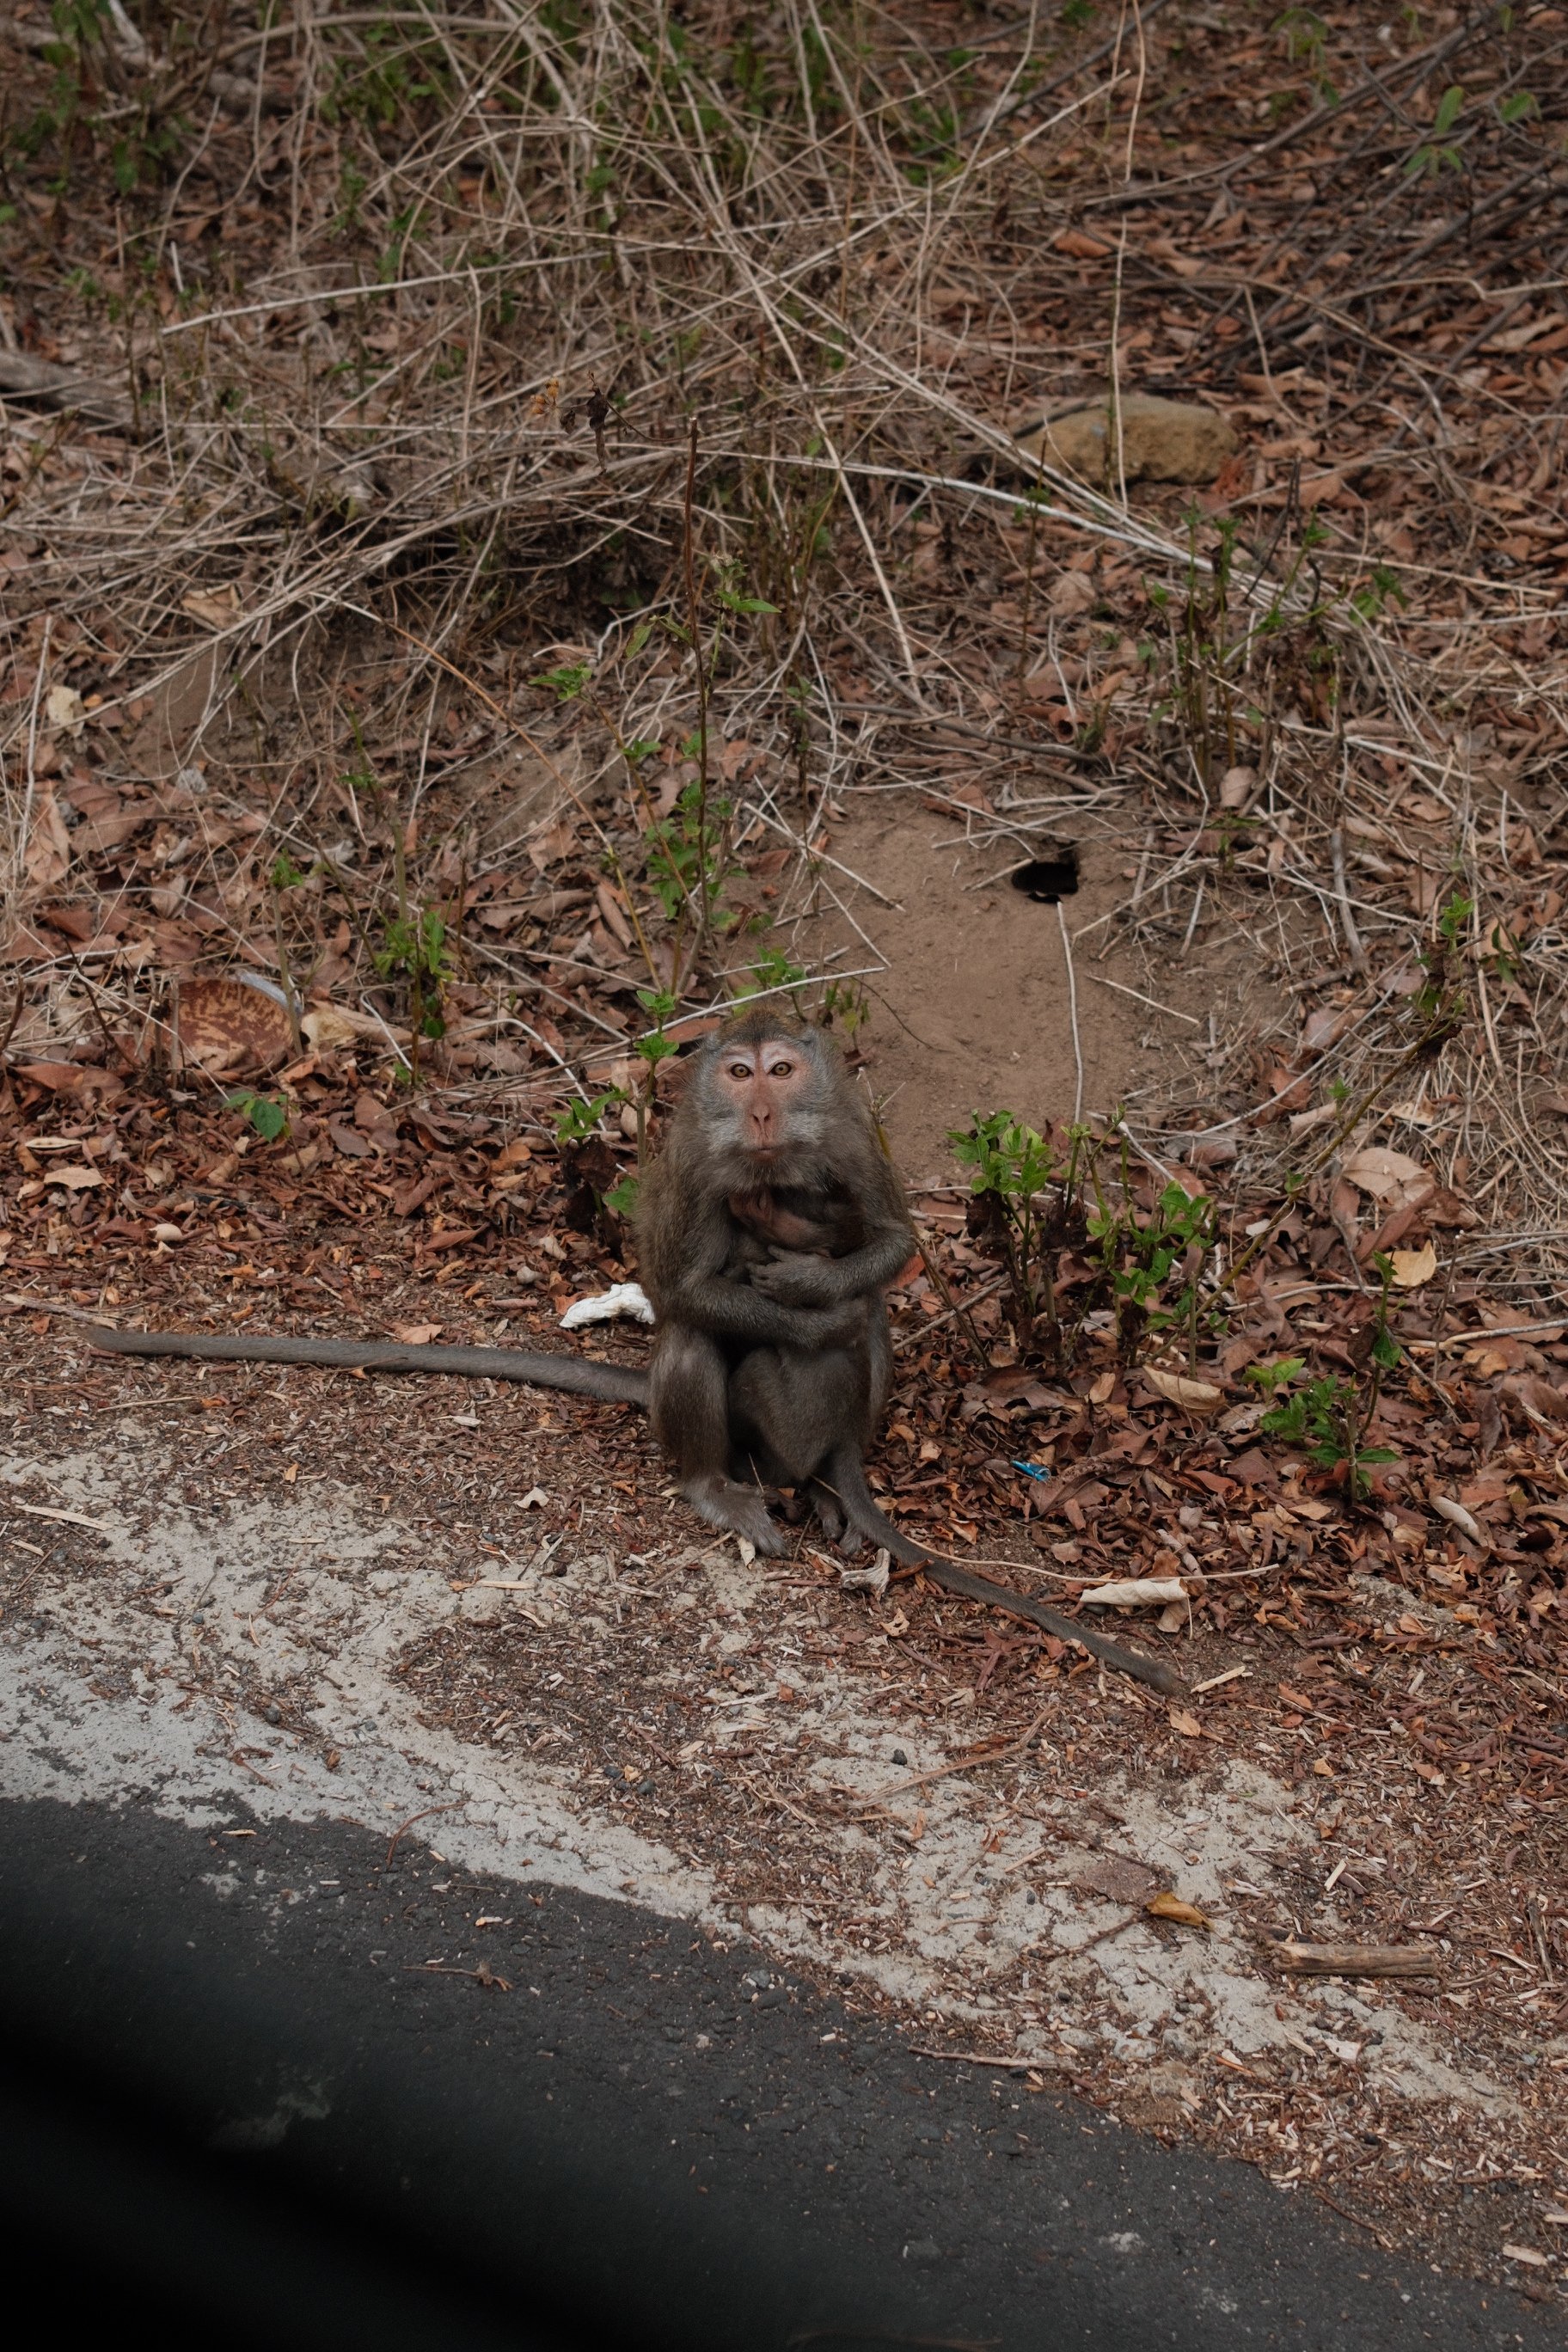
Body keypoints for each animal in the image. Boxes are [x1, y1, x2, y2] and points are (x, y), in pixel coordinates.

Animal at [86, 1006, 1180, 1693]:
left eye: (783, 1070)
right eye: (737, 1074)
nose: (763, 1109)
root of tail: (810, 1463)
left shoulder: (851, 1142)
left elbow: (889, 1246)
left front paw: (811, 1284)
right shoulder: (692, 1164)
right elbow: (683, 1288)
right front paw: (795, 1306)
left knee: (871, 1321)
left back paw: (837, 1490)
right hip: (735, 1446)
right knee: (695, 1343)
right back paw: (720, 1487)